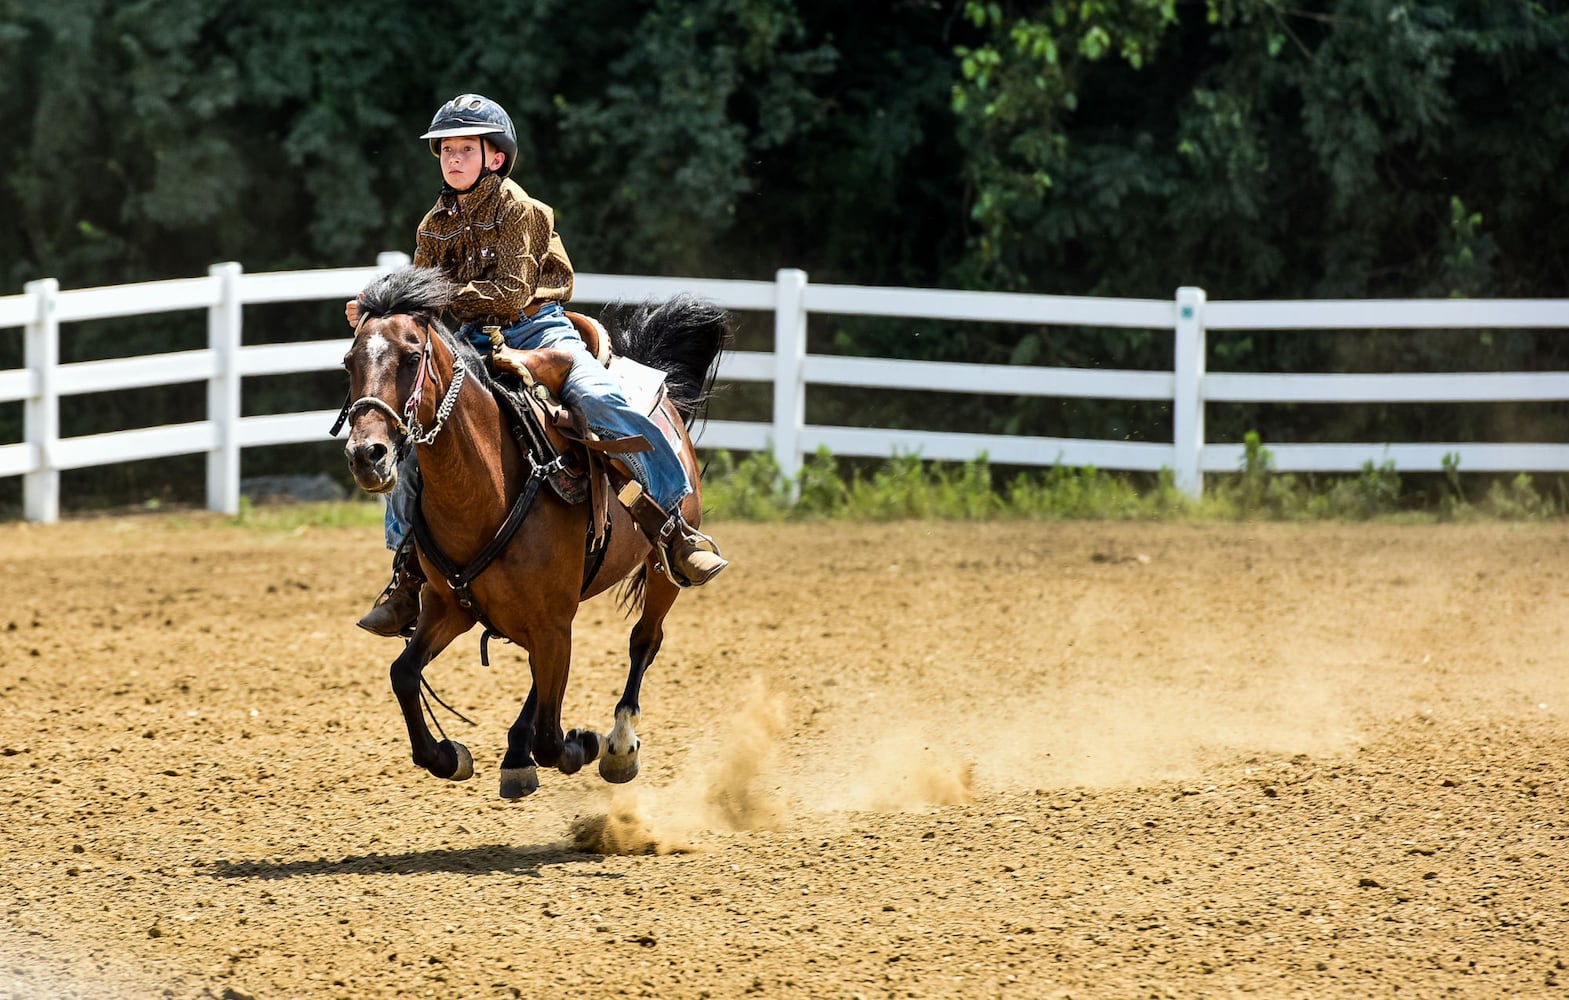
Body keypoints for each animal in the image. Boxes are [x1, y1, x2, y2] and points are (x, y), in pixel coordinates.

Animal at [337, 263, 728, 794]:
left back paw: (617, 745)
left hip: (660, 569)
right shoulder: (450, 607)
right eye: (349, 362)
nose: (366, 455)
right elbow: (403, 674)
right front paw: (449, 755)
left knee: (644, 641)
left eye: (412, 356)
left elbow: (551, 735)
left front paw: (583, 744)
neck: (484, 486)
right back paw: (518, 752)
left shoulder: (552, 622)